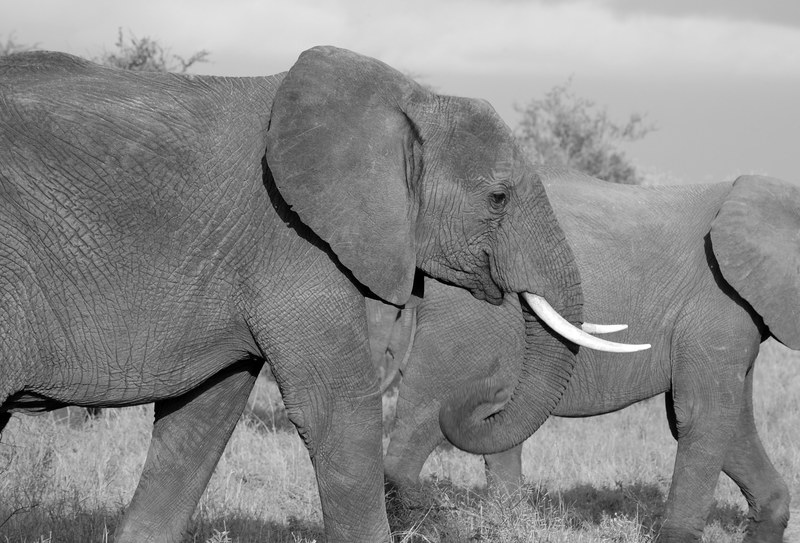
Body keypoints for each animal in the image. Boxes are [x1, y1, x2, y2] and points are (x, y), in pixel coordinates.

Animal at [0, 47, 645, 542]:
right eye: (499, 198)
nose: (480, 399)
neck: (408, 102)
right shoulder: (290, 239)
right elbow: (338, 410)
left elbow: (201, 417)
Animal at [384, 170, 800, 542]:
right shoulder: (716, 304)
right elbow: (703, 416)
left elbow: (729, 422)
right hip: (467, 316)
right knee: (424, 413)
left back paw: (510, 528)